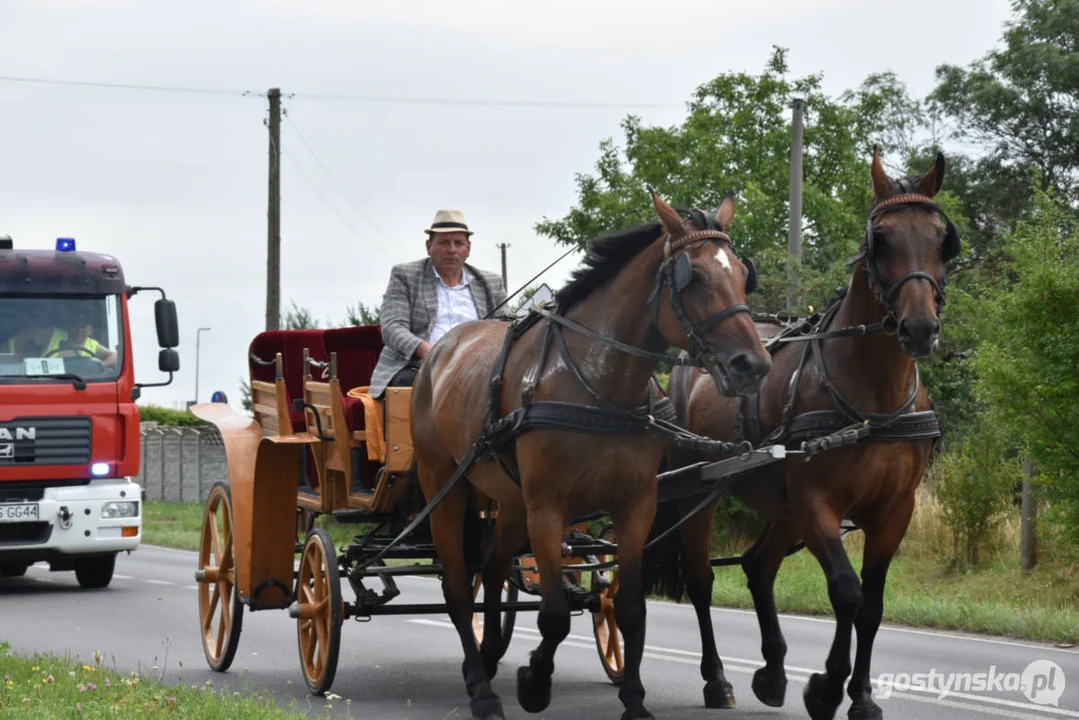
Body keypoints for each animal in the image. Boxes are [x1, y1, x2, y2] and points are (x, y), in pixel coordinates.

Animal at [407, 191, 772, 720]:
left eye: (744, 274)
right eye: (696, 277)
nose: (754, 365)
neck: (598, 384)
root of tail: (442, 351)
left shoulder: (634, 506)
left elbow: (631, 609)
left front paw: (634, 700)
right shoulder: (547, 510)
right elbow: (555, 616)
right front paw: (534, 682)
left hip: (508, 500)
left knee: (493, 571)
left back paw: (491, 656)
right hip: (445, 488)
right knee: (458, 590)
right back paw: (481, 686)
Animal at [647, 148, 962, 716]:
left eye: (940, 238)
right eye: (881, 239)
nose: (920, 329)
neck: (873, 398)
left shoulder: (895, 510)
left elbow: (873, 605)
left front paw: (861, 697)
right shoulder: (818, 503)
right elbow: (847, 592)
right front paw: (826, 687)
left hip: (783, 504)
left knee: (758, 566)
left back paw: (773, 673)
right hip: (699, 492)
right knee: (702, 580)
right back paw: (717, 679)